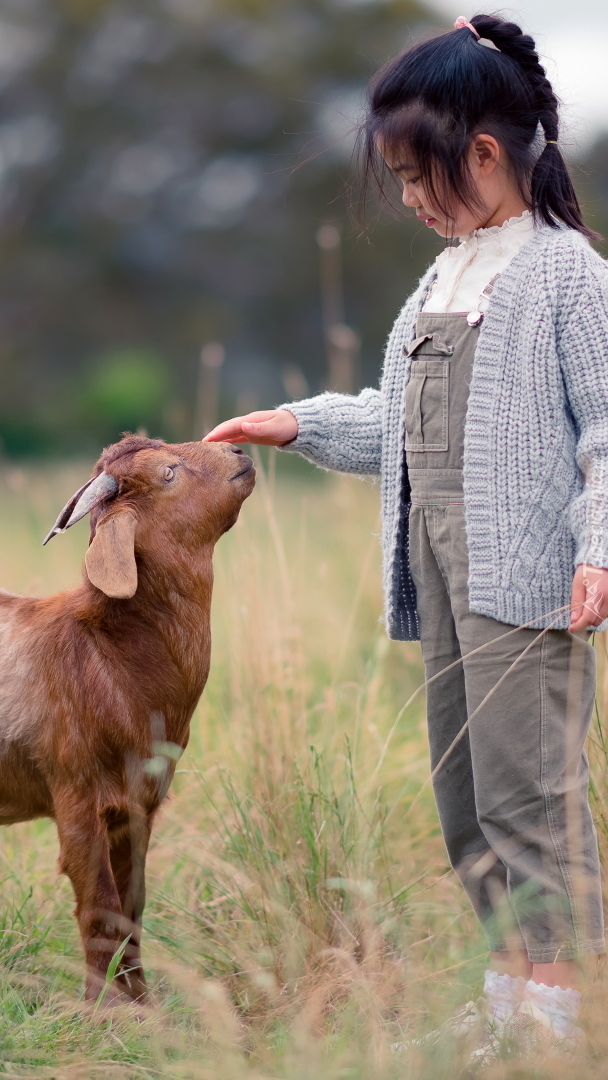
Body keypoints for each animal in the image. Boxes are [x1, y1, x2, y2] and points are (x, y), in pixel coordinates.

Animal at [0, 436, 254, 1002]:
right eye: (169, 472)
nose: (238, 450)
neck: (109, 657)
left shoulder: (140, 805)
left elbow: (132, 907)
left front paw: (142, 1002)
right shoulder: (74, 795)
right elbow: (100, 906)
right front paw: (105, 1010)